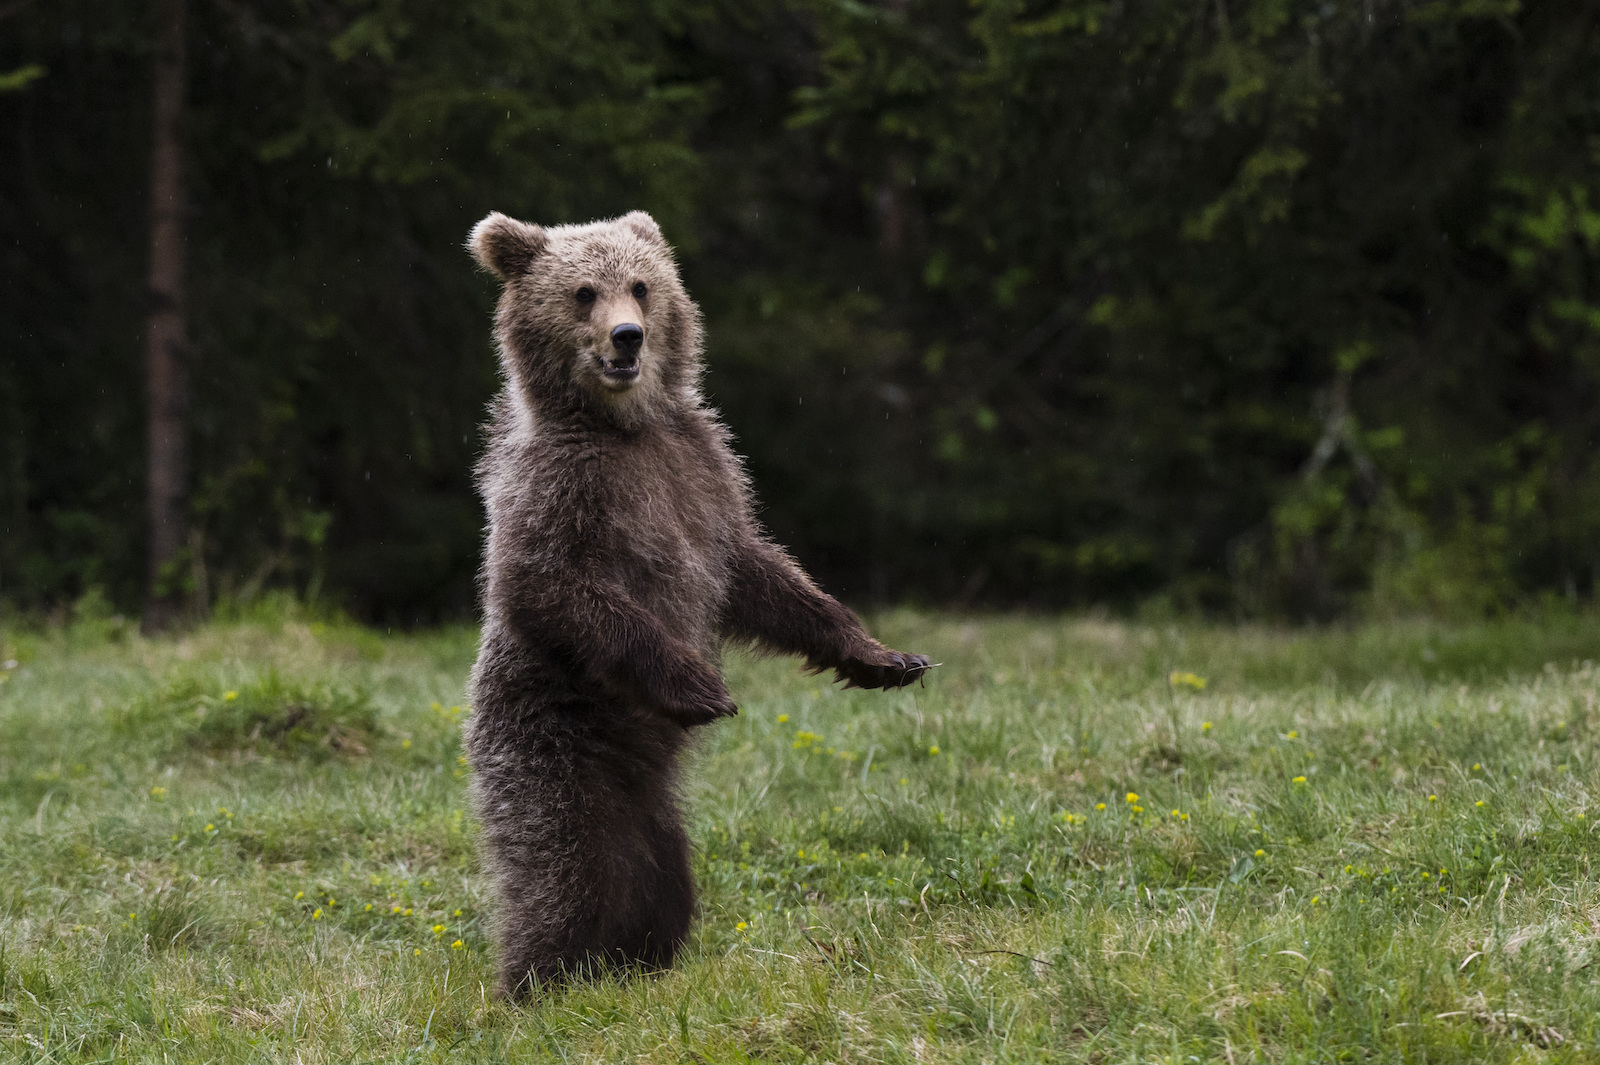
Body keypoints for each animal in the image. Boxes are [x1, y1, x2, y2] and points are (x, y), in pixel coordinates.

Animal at [463, 209, 930, 998]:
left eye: (642, 286)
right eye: (583, 293)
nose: (628, 337)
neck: (624, 427)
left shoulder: (703, 472)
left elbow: (761, 576)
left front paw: (881, 656)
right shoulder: (561, 488)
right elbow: (549, 585)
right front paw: (701, 686)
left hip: (654, 807)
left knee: (660, 882)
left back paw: (640, 961)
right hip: (550, 740)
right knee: (569, 867)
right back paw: (537, 981)